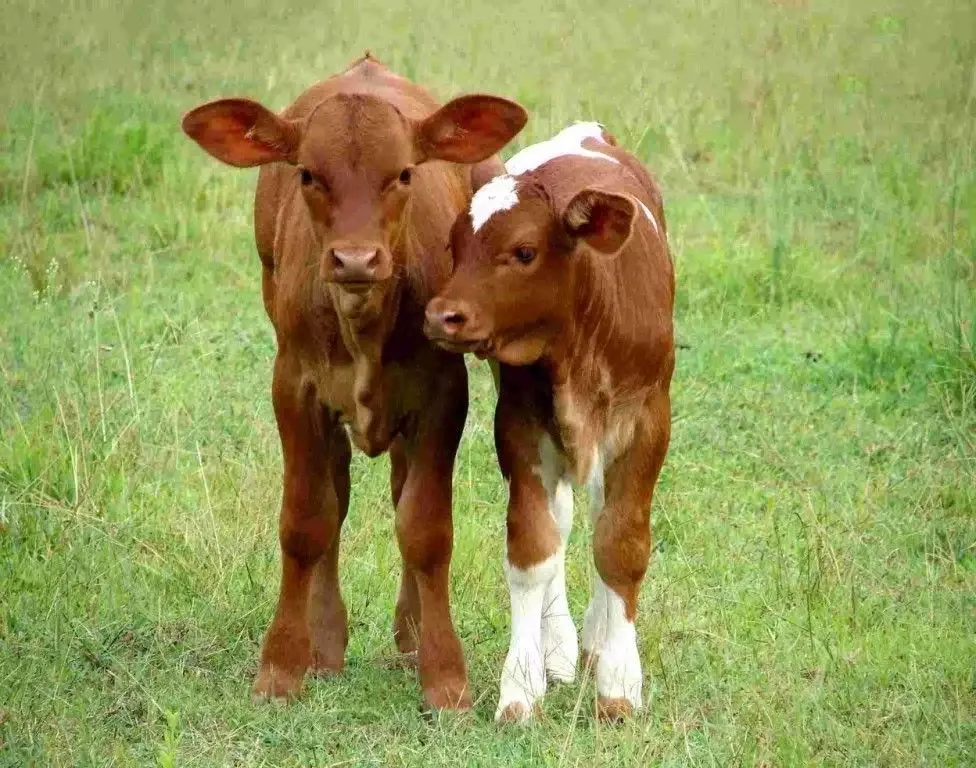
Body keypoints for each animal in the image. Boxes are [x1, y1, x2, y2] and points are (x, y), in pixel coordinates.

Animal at [179, 54, 524, 712]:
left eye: (404, 173)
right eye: (309, 174)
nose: (356, 260)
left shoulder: (443, 393)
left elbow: (425, 528)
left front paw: (445, 676)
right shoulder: (293, 387)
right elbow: (305, 521)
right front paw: (281, 667)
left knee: (398, 490)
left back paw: (410, 635)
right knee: (334, 496)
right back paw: (326, 642)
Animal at [424, 120, 676, 720]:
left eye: (524, 251)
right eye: (454, 245)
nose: (442, 315)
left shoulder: (647, 425)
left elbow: (621, 546)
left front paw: (619, 684)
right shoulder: (519, 424)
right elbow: (534, 548)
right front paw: (521, 687)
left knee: (601, 514)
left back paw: (597, 641)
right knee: (563, 521)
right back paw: (560, 647)